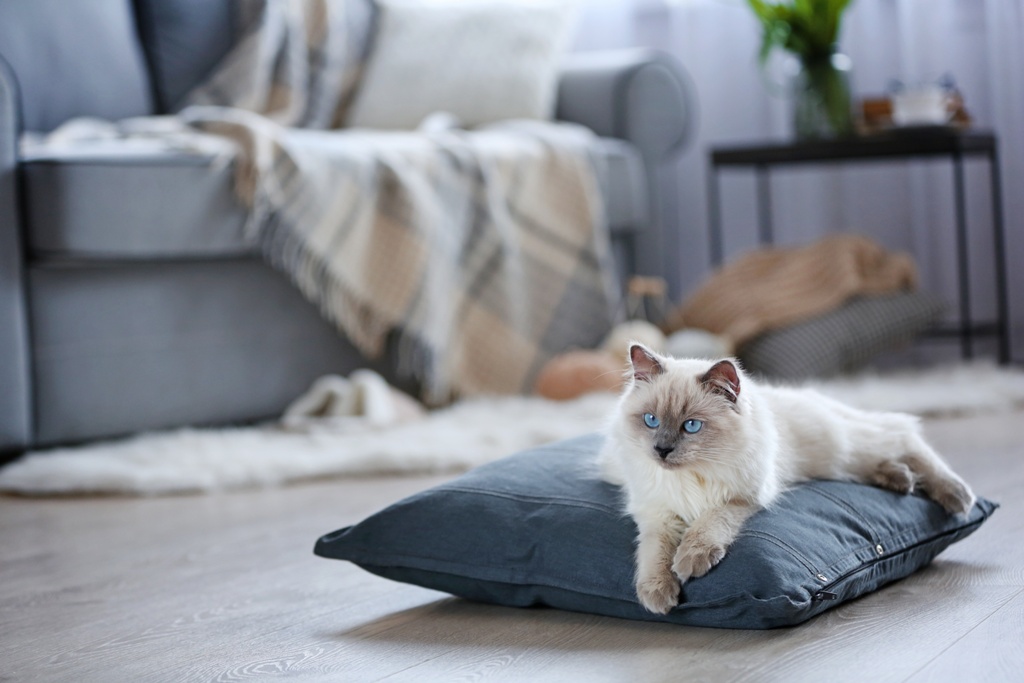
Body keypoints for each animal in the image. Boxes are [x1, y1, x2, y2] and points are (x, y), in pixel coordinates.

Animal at [598, 344, 974, 618]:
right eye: (650, 420)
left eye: (691, 426)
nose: (661, 450)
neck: (691, 476)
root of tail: (814, 397)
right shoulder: (657, 514)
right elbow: (654, 553)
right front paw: (657, 594)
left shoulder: (740, 498)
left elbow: (707, 525)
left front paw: (691, 561)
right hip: (842, 463)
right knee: (889, 455)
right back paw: (901, 480)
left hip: (844, 449)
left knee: (905, 436)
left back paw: (957, 496)